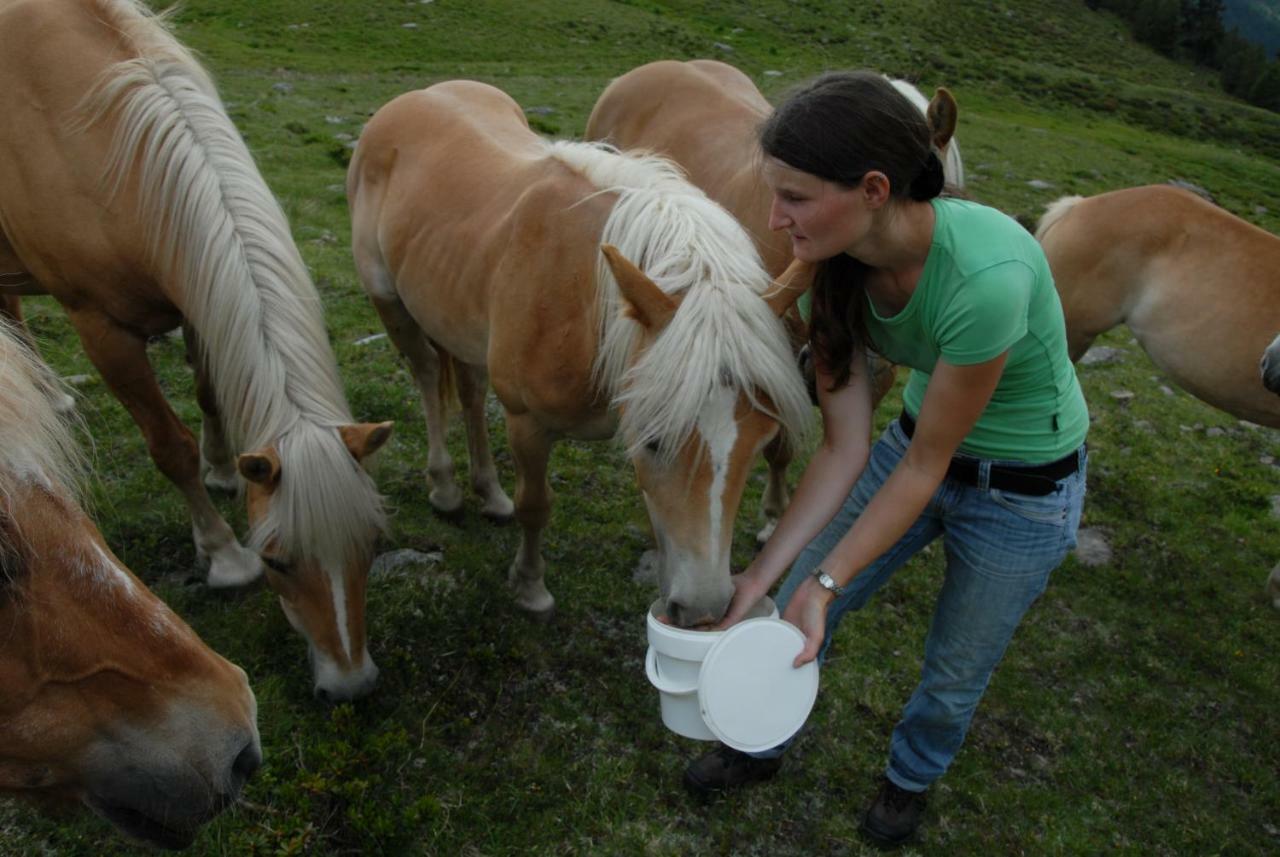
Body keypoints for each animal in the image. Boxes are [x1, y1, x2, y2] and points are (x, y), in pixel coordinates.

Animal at [0, 0, 389, 706]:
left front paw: (225, 468)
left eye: (373, 544)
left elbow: (210, 394)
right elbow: (167, 445)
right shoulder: (101, 328)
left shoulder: (194, 296)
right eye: (275, 560)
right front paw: (222, 554)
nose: (349, 686)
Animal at [348, 80, 808, 626]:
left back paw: (489, 493)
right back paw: (445, 488)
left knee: (470, 390)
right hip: (389, 303)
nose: (703, 610)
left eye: (762, 443)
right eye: (657, 441)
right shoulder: (528, 421)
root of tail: (415, 96)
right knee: (424, 376)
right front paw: (531, 588)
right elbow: (536, 505)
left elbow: (661, 522)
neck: (584, 297)